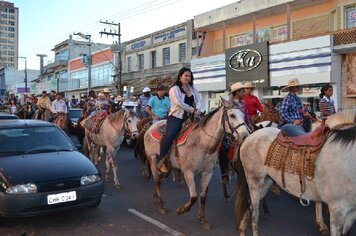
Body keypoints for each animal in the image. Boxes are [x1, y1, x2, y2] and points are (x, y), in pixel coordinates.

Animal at [143, 98, 249, 230]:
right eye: (232, 115)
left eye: (244, 115)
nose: (245, 136)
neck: (202, 143)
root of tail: (151, 127)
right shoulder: (188, 172)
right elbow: (193, 197)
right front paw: (181, 210)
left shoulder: (207, 173)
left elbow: (202, 197)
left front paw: (203, 219)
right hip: (152, 158)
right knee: (157, 178)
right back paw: (160, 206)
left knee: (158, 178)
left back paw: (158, 200)